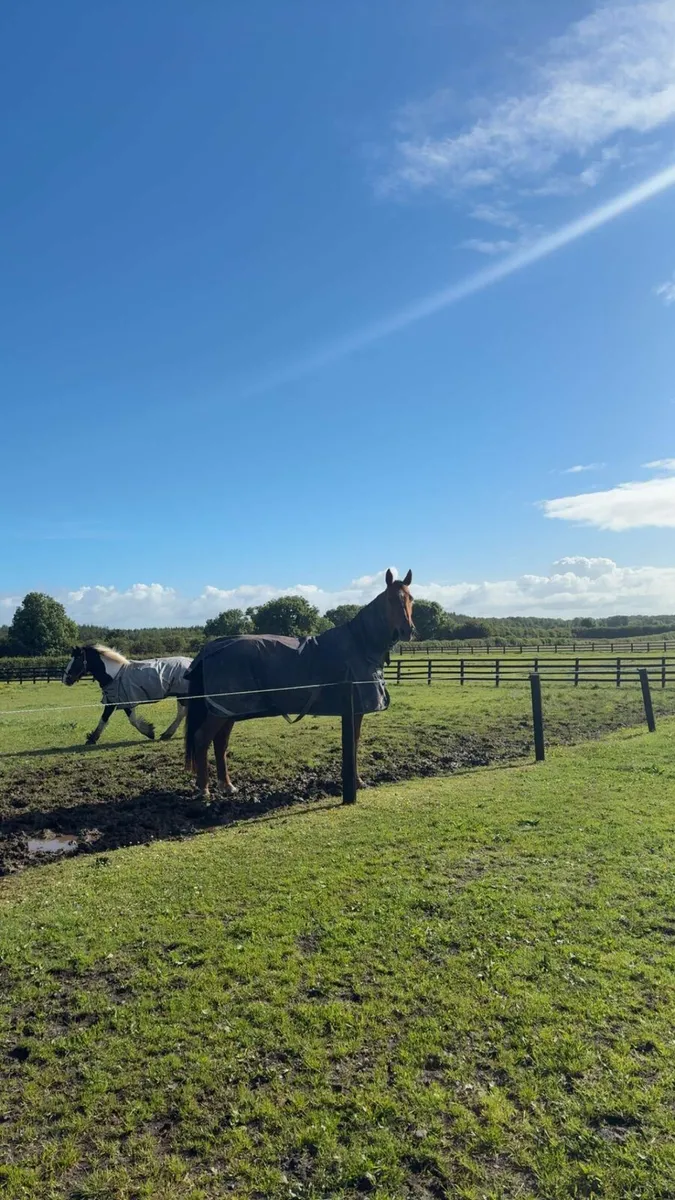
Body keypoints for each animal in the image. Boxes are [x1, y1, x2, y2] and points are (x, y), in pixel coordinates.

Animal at [63, 644, 192, 745]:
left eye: (77, 659)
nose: (65, 679)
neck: (114, 675)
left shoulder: (125, 701)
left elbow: (132, 720)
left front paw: (149, 732)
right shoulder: (113, 701)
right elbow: (104, 719)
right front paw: (92, 739)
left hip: (183, 695)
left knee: (182, 713)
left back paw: (168, 734)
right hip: (182, 695)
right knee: (182, 713)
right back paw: (168, 734)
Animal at [185, 569, 414, 799]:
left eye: (411, 598)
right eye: (391, 599)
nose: (408, 630)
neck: (360, 644)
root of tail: (211, 648)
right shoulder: (355, 710)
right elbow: (354, 742)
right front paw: (356, 781)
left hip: (228, 711)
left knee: (220, 743)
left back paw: (227, 785)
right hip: (222, 710)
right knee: (202, 739)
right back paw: (204, 789)